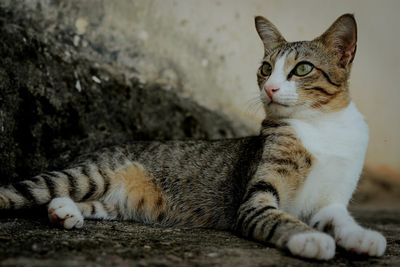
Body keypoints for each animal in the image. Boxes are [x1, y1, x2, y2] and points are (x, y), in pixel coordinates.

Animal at [0, 13, 388, 260]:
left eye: (303, 68)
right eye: (265, 69)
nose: (270, 88)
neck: (322, 125)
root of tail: (95, 153)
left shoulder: (331, 200)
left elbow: (341, 219)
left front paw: (362, 238)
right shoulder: (257, 197)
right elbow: (279, 217)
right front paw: (310, 238)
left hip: (114, 201)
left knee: (80, 202)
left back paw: (64, 212)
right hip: (90, 175)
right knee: (33, 189)